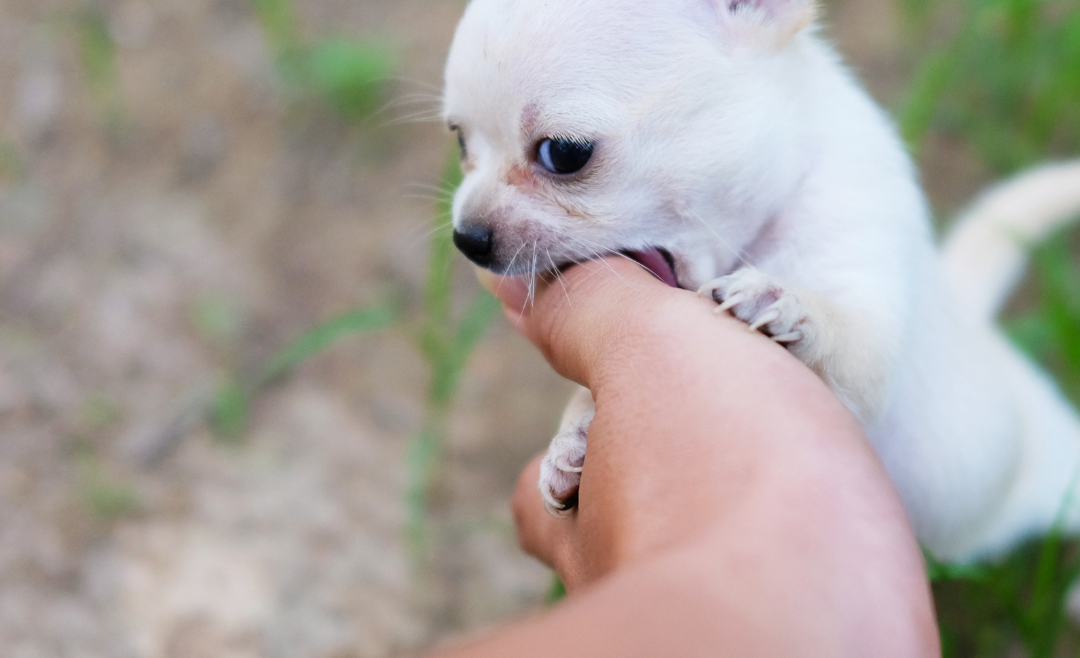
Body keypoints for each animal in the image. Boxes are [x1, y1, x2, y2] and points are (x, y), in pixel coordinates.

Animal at [442, 0, 1080, 561]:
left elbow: (847, 337)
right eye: (460, 142)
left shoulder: (870, 338)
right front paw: (572, 439)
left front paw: (785, 302)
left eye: (564, 153)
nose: (468, 237)